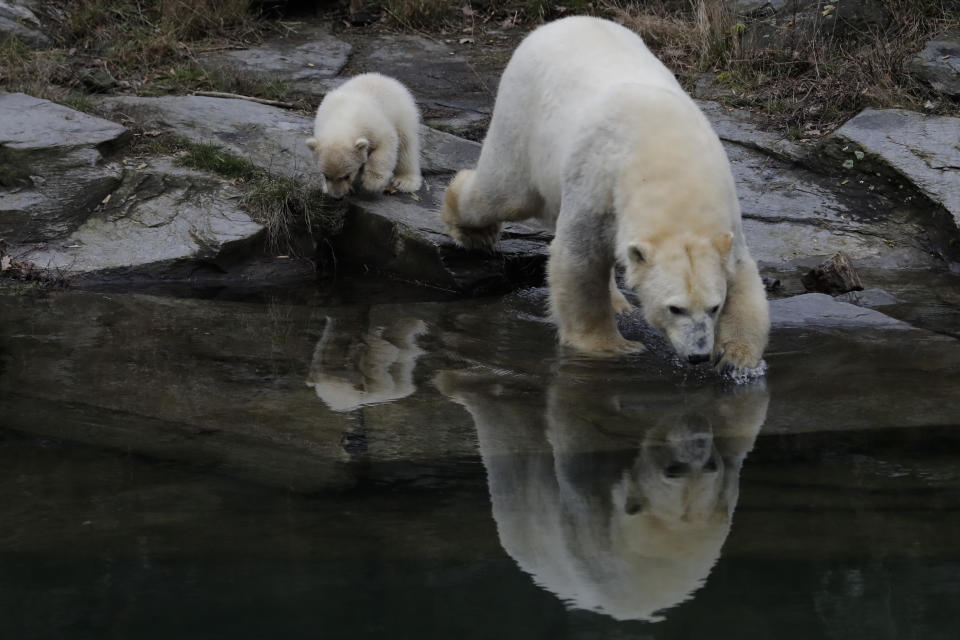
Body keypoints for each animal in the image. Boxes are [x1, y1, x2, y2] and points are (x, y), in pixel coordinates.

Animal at [444, 17, 772, 372]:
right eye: (675, 308)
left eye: (714, 306)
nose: (697, 355)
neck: (669, 164)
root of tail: (559, 23)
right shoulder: (599, 183)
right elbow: (580, 260)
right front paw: (611, 346)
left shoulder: (724, 205)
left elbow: (742, 271)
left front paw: (737, 357)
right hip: (522, 115)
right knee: (505, 193)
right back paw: (471, 228)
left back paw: (618, 302)